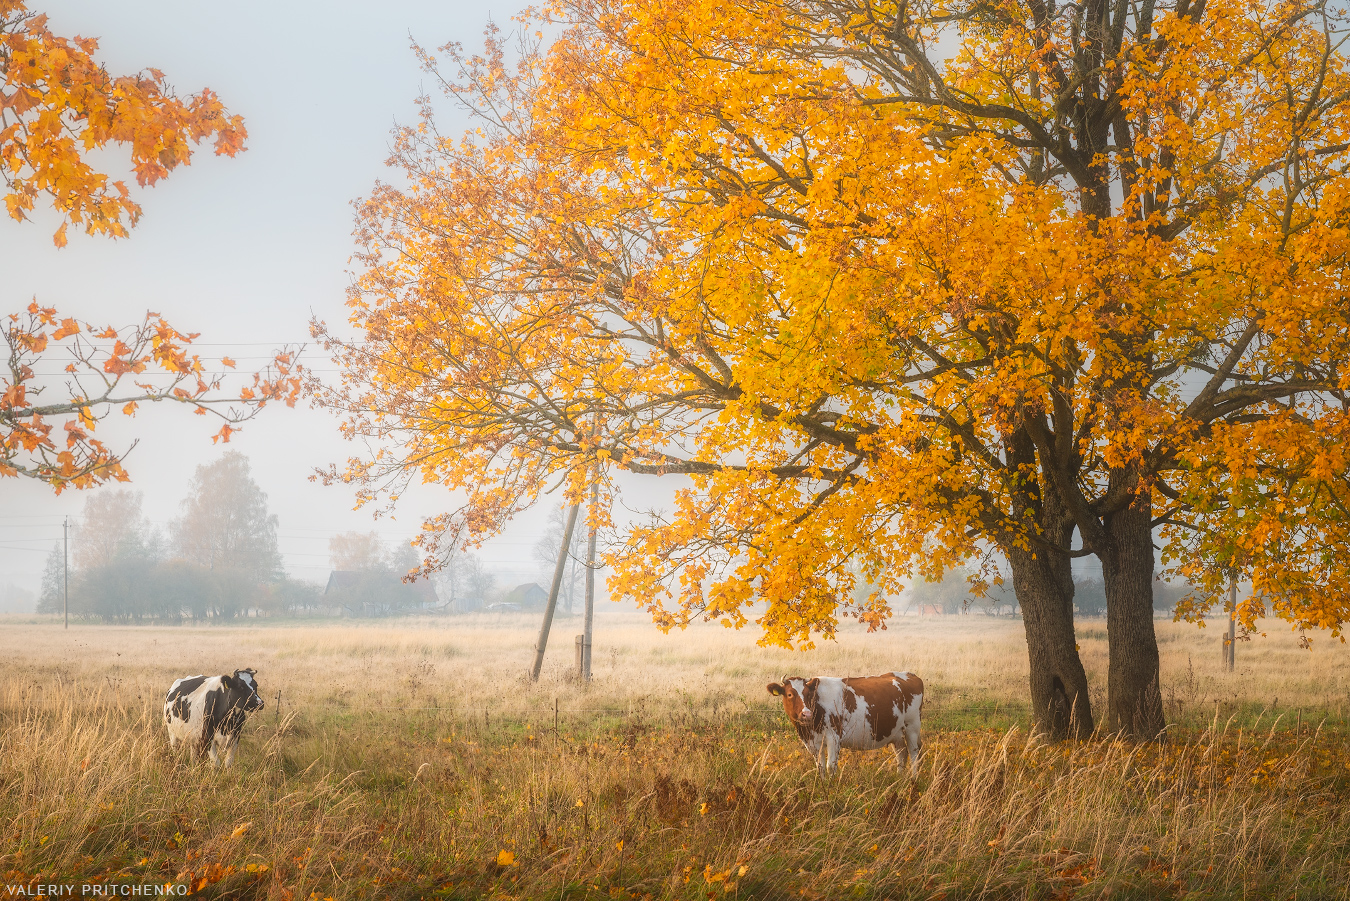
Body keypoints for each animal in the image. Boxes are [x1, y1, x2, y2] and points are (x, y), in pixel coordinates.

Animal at [766, 670, 923, 778]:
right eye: (790, 694)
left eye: (808, 694)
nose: (807, 714)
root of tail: (909, 675)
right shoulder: (813, 742)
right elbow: (820, 767)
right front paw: (822, 786)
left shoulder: (834, 737)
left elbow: (830, 766)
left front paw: (831, 788)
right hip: (897, 732)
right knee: (901, 753)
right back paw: (899, 778)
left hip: (912, 727)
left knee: (914, 752)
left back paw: (913, 779)